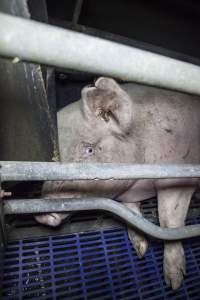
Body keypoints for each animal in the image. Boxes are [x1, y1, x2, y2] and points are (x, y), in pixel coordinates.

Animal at [35, 78, 200, 290]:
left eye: (89, 150)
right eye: (53, 159)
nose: (41, 215)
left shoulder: (178, 176)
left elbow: (168, 221)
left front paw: (174, 283)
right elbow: (131, 216)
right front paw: (140, 251)